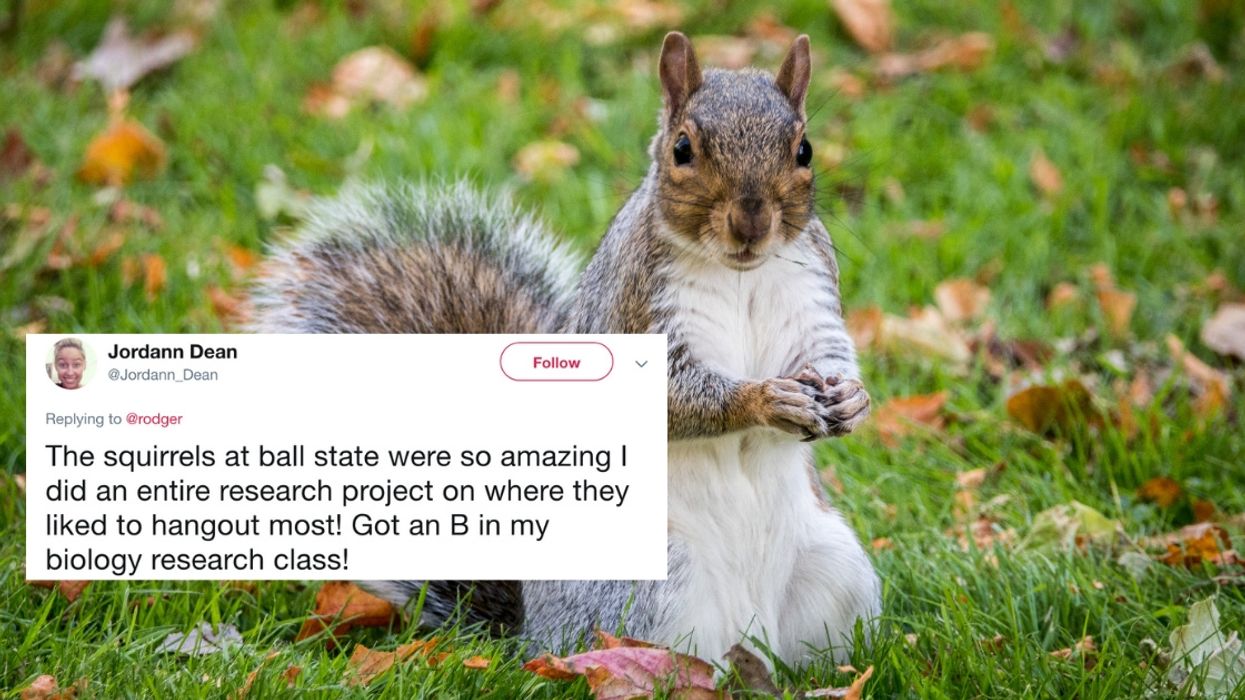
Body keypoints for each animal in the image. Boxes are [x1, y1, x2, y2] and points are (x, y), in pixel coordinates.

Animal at [250, 32, 880, 667]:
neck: (739, 273)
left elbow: (829, 353)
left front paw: (852, 401)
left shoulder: (812, 297)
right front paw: (767, 400)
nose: (751, 223)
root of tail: (529, 635)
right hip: (650, 585)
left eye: (804, 150)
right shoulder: (635, 306)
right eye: (683, 149)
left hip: (836, 569)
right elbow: (677, 398)